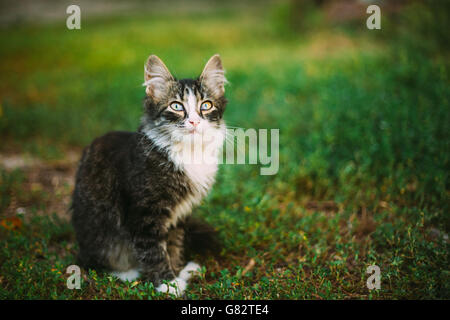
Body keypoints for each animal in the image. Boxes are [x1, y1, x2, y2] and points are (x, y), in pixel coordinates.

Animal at [71, 53, 227, 296]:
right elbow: (153, 251)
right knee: (94, 262)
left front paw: (177, 272)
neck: (188, 151)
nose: (194, 121)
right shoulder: (144, 213)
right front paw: (168, 284)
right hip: (98, 231)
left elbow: (173, 246)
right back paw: (127, 272)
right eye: (176, 106)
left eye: (206, 105)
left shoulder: (179, 215)